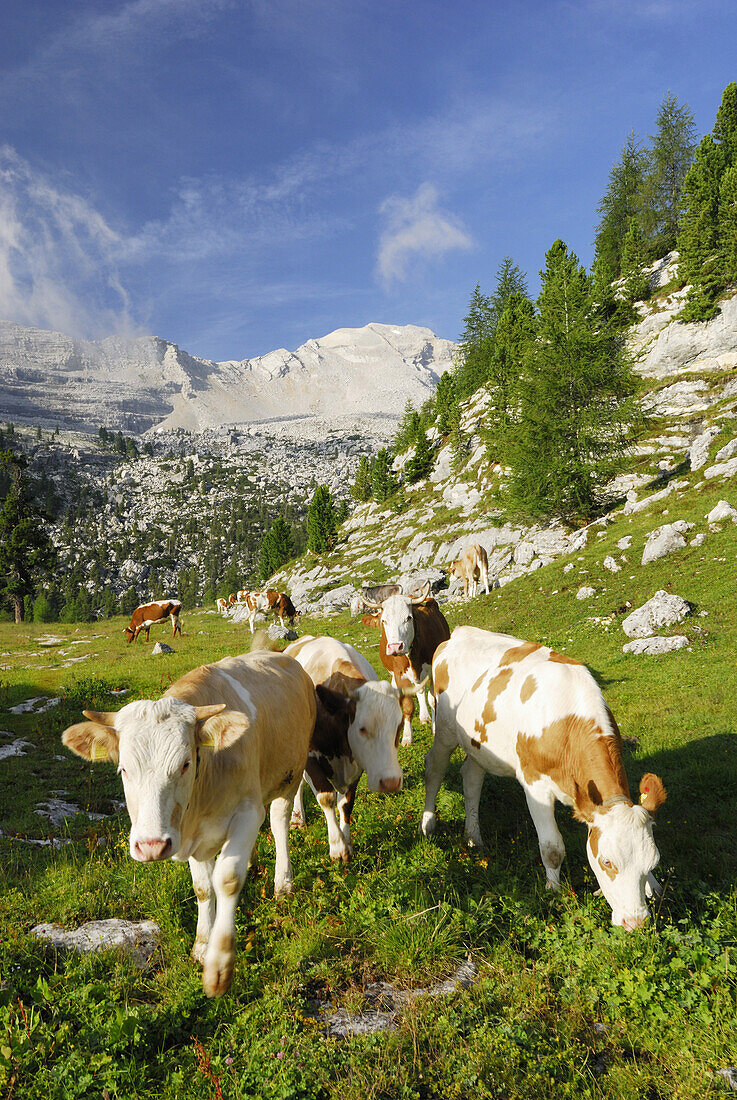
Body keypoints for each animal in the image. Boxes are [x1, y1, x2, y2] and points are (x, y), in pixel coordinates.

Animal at [62, 646, 316, 1003]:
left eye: (185, 764)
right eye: (124, 768)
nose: (151, 845)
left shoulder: (248, 812)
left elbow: (227, 879)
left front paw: (219, 967)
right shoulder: (188, 836)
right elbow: (203, 887)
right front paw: (202, 944)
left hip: (290, 773)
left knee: (280, 820)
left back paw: (284, 882)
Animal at [283, 638, 422, 858]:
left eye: (399, 726)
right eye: (362, 728)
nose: (391, 782)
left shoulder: (358, 765)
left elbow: (346, 803)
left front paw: (347, 842)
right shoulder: (310, 758)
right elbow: (326, 798)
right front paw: (337, 847)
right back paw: (298, 817)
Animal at [363, 585, 451, 748]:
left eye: (408, 618)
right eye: (384, 621)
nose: (395, 647)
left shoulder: (433, 672)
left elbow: (433, 700)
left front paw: (435, 728)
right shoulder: (400, 675)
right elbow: (408, 705)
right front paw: (407, 737)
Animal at [422, 629, 668, 928]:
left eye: (653, 863)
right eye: (607, 862)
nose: (635, 923)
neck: (567, 722)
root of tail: (459, 633)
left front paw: (653, 887)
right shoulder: (535, 785)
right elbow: (552, 847)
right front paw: (553, 891)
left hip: (477, 744)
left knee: (471, 779)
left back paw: (473, 837)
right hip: (445, 729)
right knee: (434, 769)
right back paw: (428, 824)